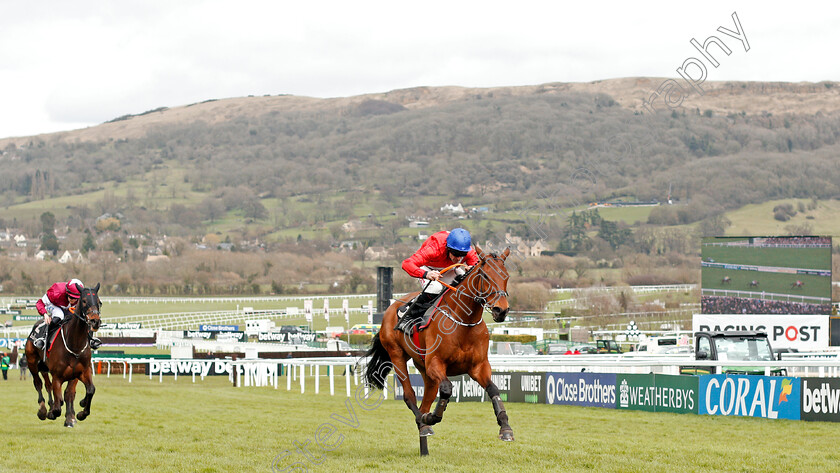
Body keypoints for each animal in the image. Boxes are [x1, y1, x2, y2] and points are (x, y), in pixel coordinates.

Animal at [25, 282, 101, 426]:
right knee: (38, 383)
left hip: (44, 367)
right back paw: (43, 409)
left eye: (99, 302)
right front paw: (53, 412)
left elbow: (88, 390)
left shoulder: (82, 372)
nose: (95, 321)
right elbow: (58, 403)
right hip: (32, 362)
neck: (74, 344)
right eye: (84, 301)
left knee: (48, 385)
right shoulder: (57, 377)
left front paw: (80, 412)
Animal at [362, 243, 512, 454]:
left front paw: (505, 428)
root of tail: (389, 310)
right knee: (410, 396)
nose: (501, 310)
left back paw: (424, 444)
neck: (464, 321)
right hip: (397, 355)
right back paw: (424, 423)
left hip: (424, 369)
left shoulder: (478, 367)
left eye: (506, 276)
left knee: (425, 402)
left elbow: (494, 390)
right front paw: (433, 418)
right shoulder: (436, 364)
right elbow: (447, 389)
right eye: (485, 275)